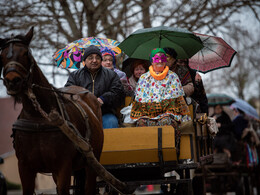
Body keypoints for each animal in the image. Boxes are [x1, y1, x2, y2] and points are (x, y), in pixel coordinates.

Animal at [0, 27, 105, 195]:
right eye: (1, 55)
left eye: (25, 53)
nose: (12, 81)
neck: (39, 117)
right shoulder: (24, 167)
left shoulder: (63, 166)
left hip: (92, 162)